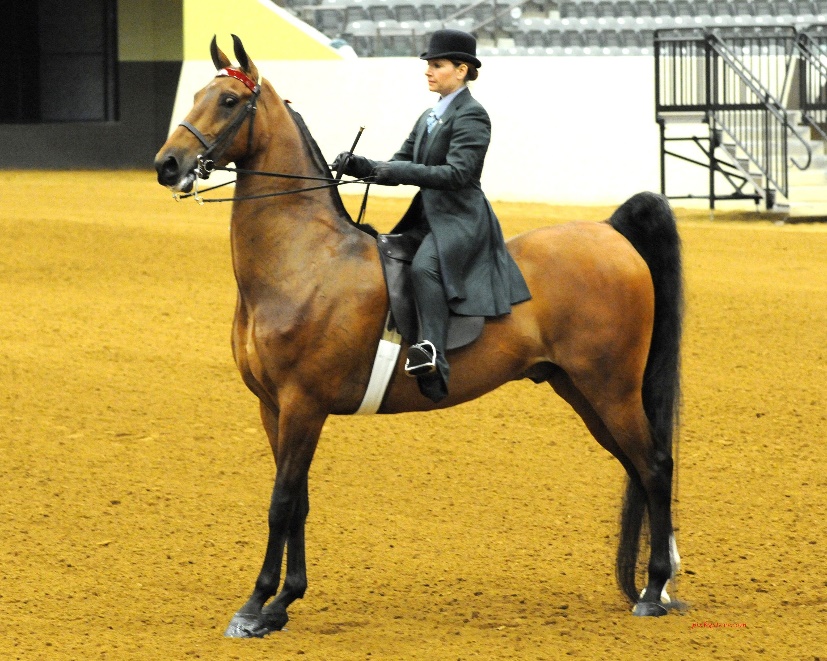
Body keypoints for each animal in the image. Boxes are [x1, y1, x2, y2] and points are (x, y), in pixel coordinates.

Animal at [155, 34, 684, 636]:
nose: (167, 164)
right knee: (637, 469)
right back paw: (655, 585)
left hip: (610, 387)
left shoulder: (302, 404)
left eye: (226, 101)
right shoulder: (274, 407)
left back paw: (655, 590)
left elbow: (281, 501)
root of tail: (611, 234)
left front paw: (256, 605)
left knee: (655, 465)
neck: (303, 260)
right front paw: (284, 602)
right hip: (581, 390)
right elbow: (300, 502)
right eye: (196, 93)